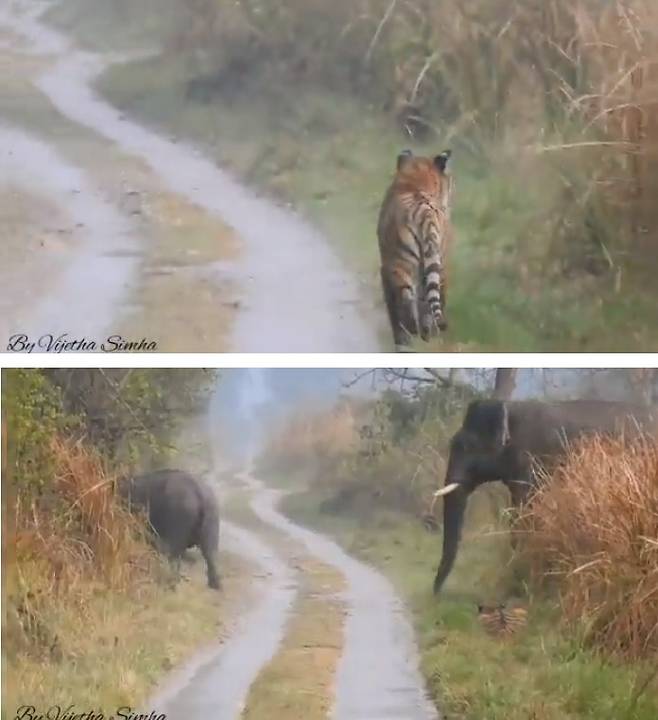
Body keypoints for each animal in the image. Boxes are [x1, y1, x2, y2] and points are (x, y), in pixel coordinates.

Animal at [376, 148, 454, 348]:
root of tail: (426, 214)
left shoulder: (386, 268)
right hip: (438, 267)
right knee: (430, 302)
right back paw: (427, 334)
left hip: (401, 264)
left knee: (406, 300)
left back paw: (409, 333)